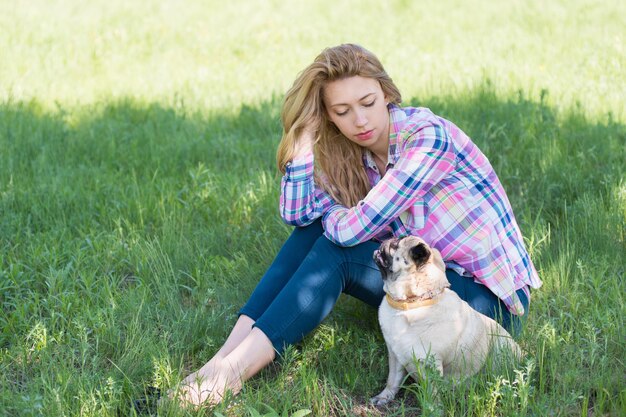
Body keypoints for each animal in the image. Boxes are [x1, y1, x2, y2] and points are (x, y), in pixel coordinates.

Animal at [368, 236, 520, 404]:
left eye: (395, 244)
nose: (387, 240)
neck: (410, 304)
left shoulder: (430, 364)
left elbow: (432, 392)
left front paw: (431, 407)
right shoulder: (395, 355)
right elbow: (392, 380)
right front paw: (384, 397)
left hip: (501, 348)